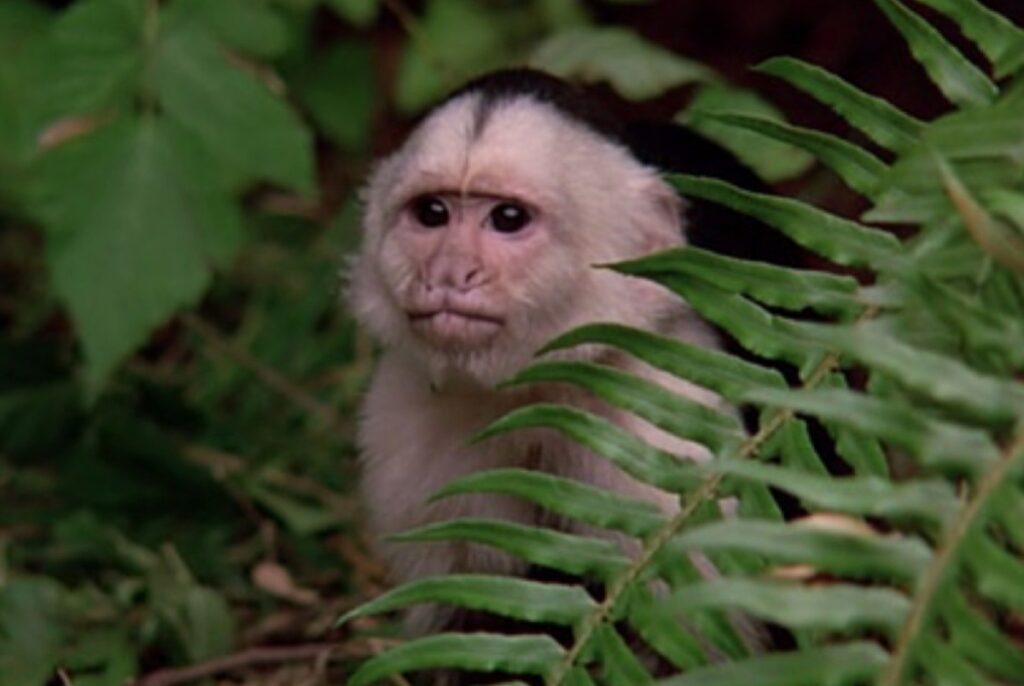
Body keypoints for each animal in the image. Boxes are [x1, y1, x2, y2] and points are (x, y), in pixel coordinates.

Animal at [348, 67, 770, 638]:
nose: (448, 273)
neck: (536, 381)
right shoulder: (410, 420)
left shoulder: (664, 415)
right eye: (432, 213)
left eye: (508, 218)